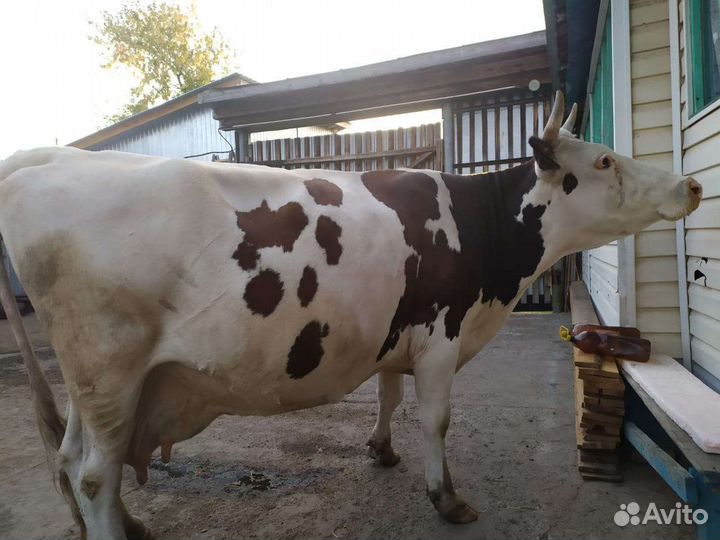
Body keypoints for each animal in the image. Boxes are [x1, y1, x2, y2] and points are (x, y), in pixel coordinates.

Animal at [0, 92, 702, 539]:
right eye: (605, 159)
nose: (690, 186)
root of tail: (43, 158)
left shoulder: (401, 330)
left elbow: (388, 393)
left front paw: (381, 450)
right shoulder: (443, 336)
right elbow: (437, 420)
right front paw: (447, 499)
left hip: (99, 386)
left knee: (75, 460)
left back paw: (131, 522)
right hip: (110, 368)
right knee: (94, 474)